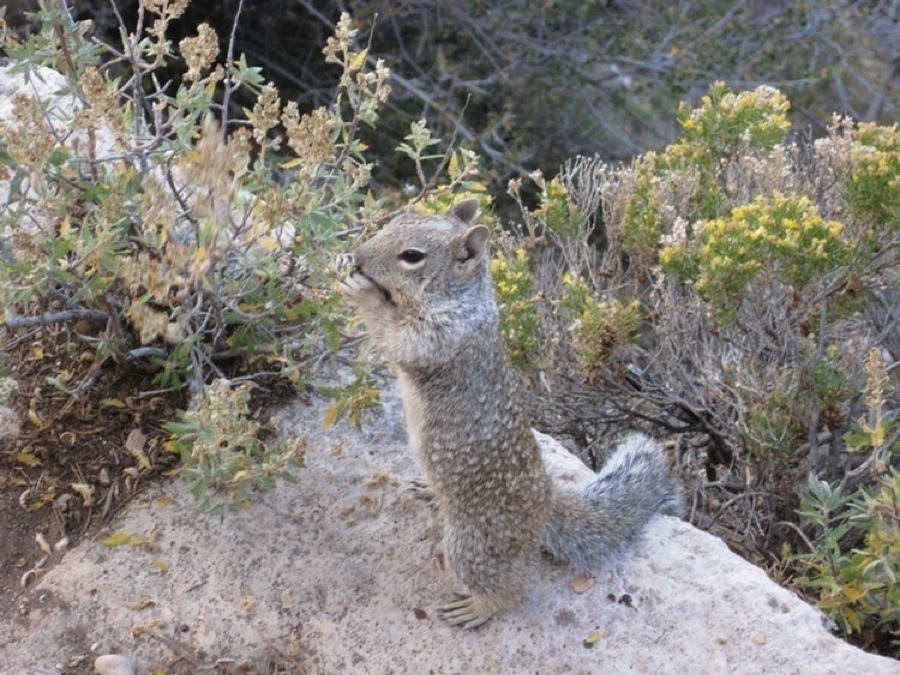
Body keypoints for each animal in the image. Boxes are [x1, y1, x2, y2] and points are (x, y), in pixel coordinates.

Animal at [340, 199, 684, 628]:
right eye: (397, 218)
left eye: (412, 256)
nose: (357, 257)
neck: (461, 298)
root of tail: (544, 505)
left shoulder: (439, 335)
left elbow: (395, 334)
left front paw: (361, 293)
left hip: (473, 542)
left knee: (508, 588)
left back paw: (477, 607)